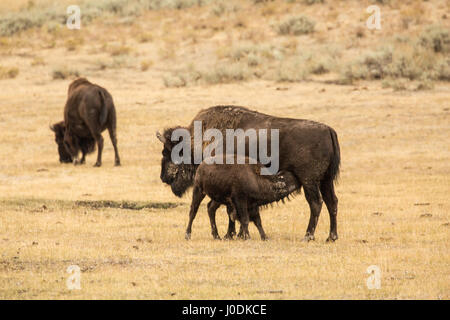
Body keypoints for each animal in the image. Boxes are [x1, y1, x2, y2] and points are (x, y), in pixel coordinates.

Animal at [156, 106, 340, 241]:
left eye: (167, 152)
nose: (163, 177)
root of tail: (328, 130)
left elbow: (231, 211)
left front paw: (231, 235)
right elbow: (232, 210)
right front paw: (234, 234)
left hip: (310, 181)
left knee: (315, 203)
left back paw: (308, 236)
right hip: (326, 181)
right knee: (332, 202)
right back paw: (331, 237)